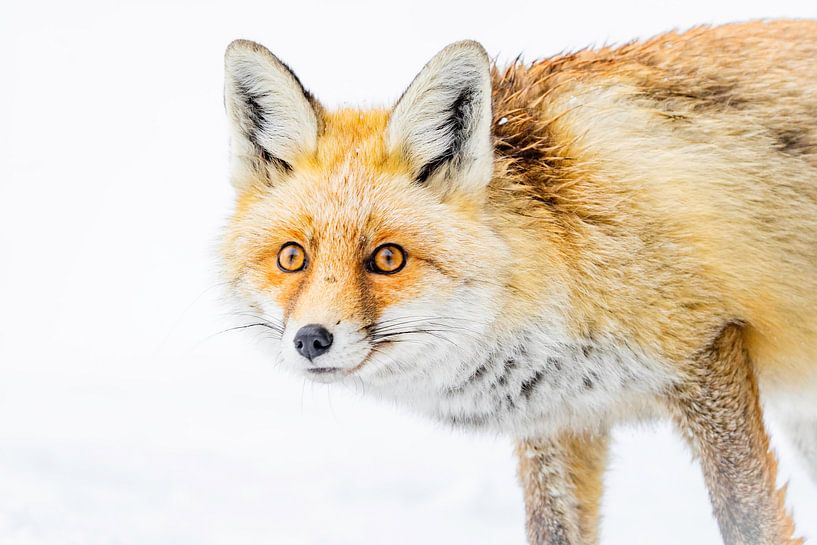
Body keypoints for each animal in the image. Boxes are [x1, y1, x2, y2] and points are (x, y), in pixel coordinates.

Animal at [220, 20, 817, 545]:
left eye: (388, 258)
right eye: (292, 257)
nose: (311, 339)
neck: (568, 249)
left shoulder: (705, 351)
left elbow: (750, 522)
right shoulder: (559, 419)